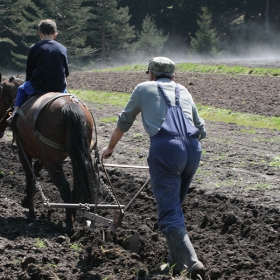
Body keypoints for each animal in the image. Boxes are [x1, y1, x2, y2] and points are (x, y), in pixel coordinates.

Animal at [0, 72, 98, 234]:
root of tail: (70, 105)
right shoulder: (44, 155)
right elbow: (36, 170)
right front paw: (26, 201)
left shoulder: (24, 151)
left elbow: (29, 177)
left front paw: (31, 214)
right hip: (75, 156)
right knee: (76, 188)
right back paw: (73, 215)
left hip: (52, 161)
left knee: (65, 188)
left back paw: (69, 225)